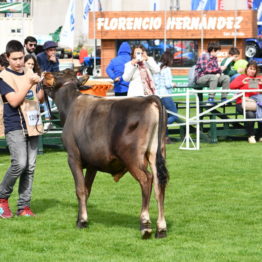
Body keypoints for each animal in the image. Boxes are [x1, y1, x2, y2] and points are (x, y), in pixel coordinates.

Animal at [42, 69, 170, 239]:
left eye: (58, 74)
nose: (43, 75)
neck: (70, 106)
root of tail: (148, 99)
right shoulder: (92, 163)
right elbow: (87, 189)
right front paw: (82, 217)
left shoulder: (73, 157)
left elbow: (80, 189)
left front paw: (81, 221)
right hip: (156, 153)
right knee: (158, 184)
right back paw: (161, 228)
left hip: (132, 157)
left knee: (146, 180)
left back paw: (145, 224)